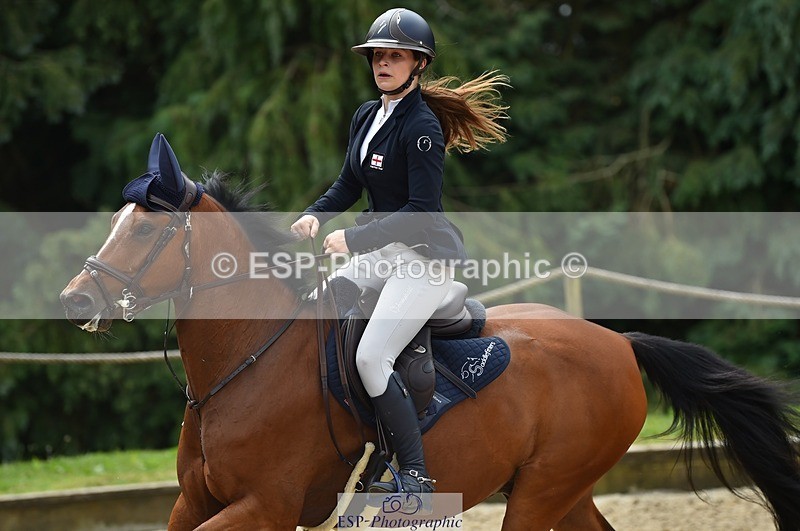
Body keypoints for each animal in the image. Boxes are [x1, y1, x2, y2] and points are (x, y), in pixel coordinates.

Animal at [60, 134, 800, 530]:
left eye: (147, 231)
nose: (75, 299)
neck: (245, 362)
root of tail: (619, 341)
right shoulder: (196, 500)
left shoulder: (263, 506)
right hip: (565, 487)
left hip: (542, 491)